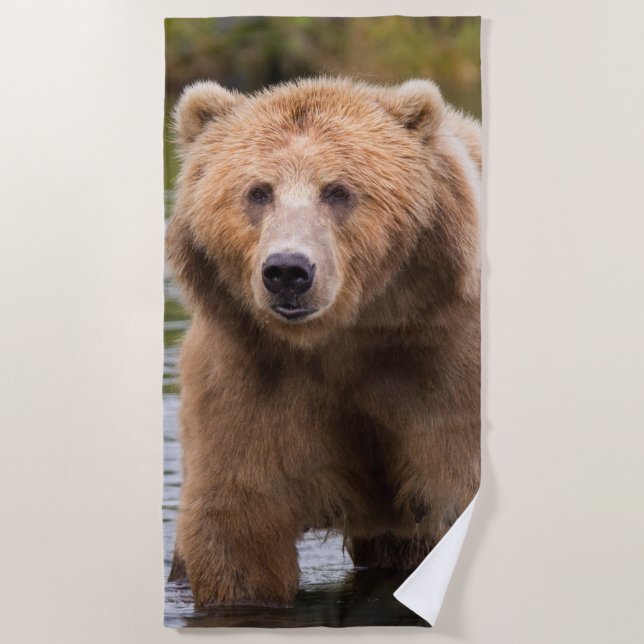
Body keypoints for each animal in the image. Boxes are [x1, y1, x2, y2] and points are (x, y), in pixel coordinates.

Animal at [166, 77, 481, 608]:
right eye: (259, 192)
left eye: (338, 191)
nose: (287, 271)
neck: (343, 338)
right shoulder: (248, 376)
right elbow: (238, 526)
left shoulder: (447, 371)